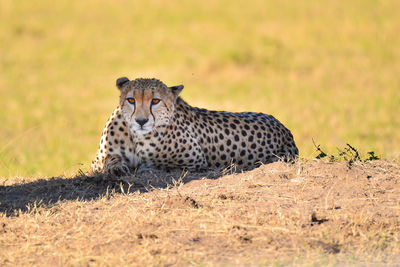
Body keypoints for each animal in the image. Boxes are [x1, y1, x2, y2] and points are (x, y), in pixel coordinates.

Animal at [90, 77, 296, 176]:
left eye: (155, 100)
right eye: (131, 100)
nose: (141, 121)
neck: (136, 137)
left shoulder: (195, 161)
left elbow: (164, 165)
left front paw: (145, 167)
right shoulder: (98, 158)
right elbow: (107, 160)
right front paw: (116, 167)